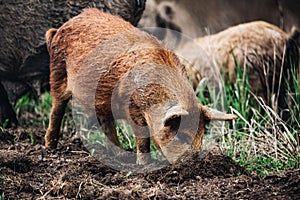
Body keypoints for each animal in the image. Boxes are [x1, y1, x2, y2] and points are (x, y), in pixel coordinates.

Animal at [44, 8, 237, 165]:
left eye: (201, 135)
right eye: (181, 135)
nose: (195, 163)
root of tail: (59, 29)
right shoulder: (133, 107)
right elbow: (142, 138)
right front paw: (145, 164)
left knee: (105, 120)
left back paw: (120, 155)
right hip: (57, 71)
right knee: (57, 109)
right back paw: (50, 147)